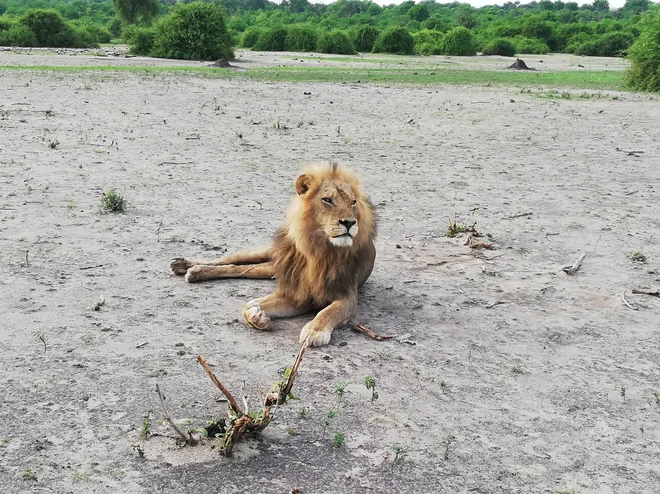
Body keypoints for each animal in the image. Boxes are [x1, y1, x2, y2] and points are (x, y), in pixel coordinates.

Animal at [170, 162, 376, 348]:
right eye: (327, 200)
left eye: (353, 202)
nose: (349, 222)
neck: (317, 251)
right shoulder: (296, 292)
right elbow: (247, 306)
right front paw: (257, 316)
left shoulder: (346, 296)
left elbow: (328, 312)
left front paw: (314, 331)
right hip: (264, 253)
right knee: (229, 260)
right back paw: (184, 265)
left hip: (269, 268)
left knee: (240, 269)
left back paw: (193, 272)